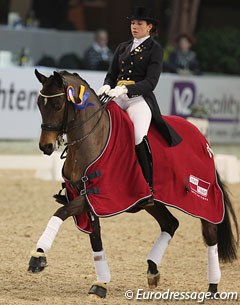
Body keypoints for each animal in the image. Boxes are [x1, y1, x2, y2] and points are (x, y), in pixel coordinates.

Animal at [28, 68, 238, 296]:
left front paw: (38, 257)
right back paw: (153, 270)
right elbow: (95, 240)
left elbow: (61, 212)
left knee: (210, 235)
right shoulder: (91, 201)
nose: (46, 146)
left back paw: (213, 287)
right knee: (170, 223)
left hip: (203, 198)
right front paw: (101, 283)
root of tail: (203, 140)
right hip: (152, 202)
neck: (93, 139)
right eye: (39, 104)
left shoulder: (99, 195)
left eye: (58, 105)